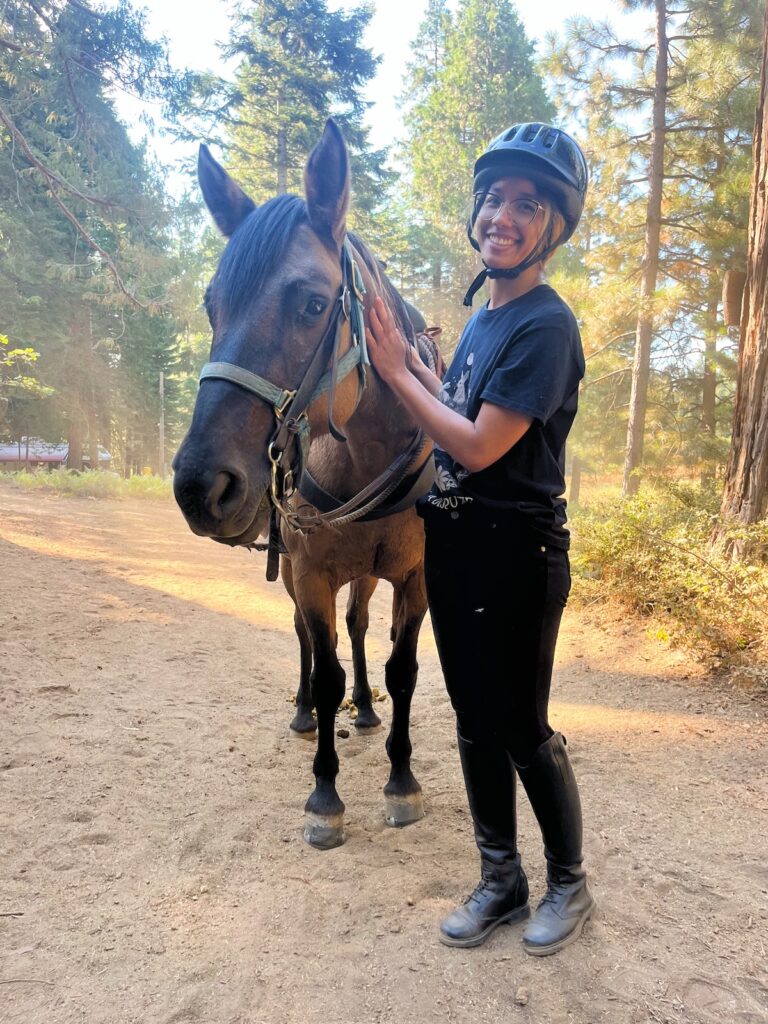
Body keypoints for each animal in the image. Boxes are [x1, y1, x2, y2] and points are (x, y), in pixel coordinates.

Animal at [174, 119, 438, 851]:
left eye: (313, 304)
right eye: (213, 306)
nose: (200, 484)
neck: (368, 453)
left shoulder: (414, 577)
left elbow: (400, 669)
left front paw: (401, 779)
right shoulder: (311, 572)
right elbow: (323, 673)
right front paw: (324, 794)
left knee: (358, 626)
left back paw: (368, 710)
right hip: (294, 571)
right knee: (306, 639)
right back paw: (302, 711)